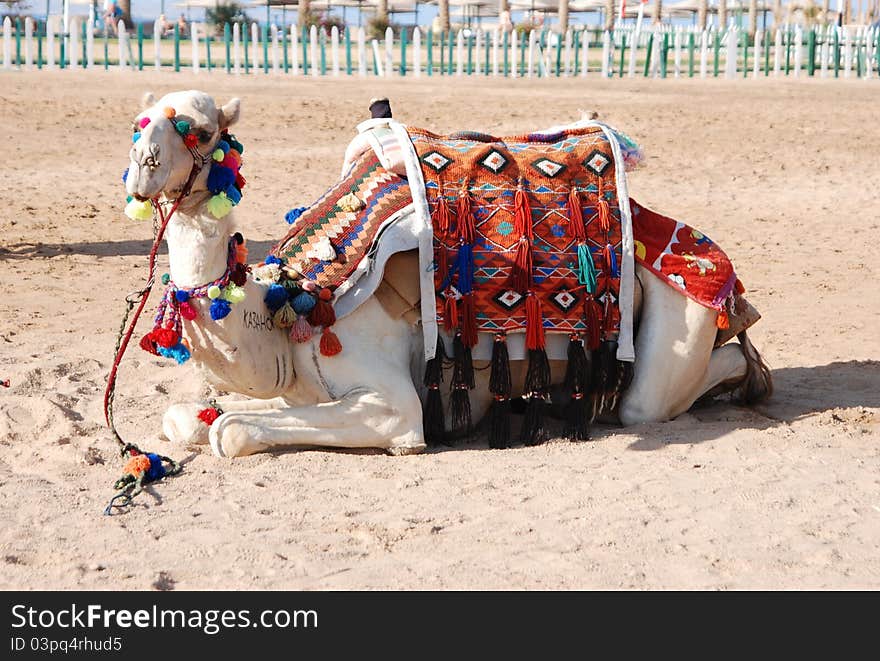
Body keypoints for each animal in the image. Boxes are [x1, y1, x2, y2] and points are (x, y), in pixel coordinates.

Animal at [124, 89, 768, 458]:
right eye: (140, 124)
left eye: (200, 131)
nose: (142, 167)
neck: (287, 308)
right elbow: (188, 417)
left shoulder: (392, 406)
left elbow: (231, 431)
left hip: (681, 311)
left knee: (654, 398)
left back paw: (752, 378)